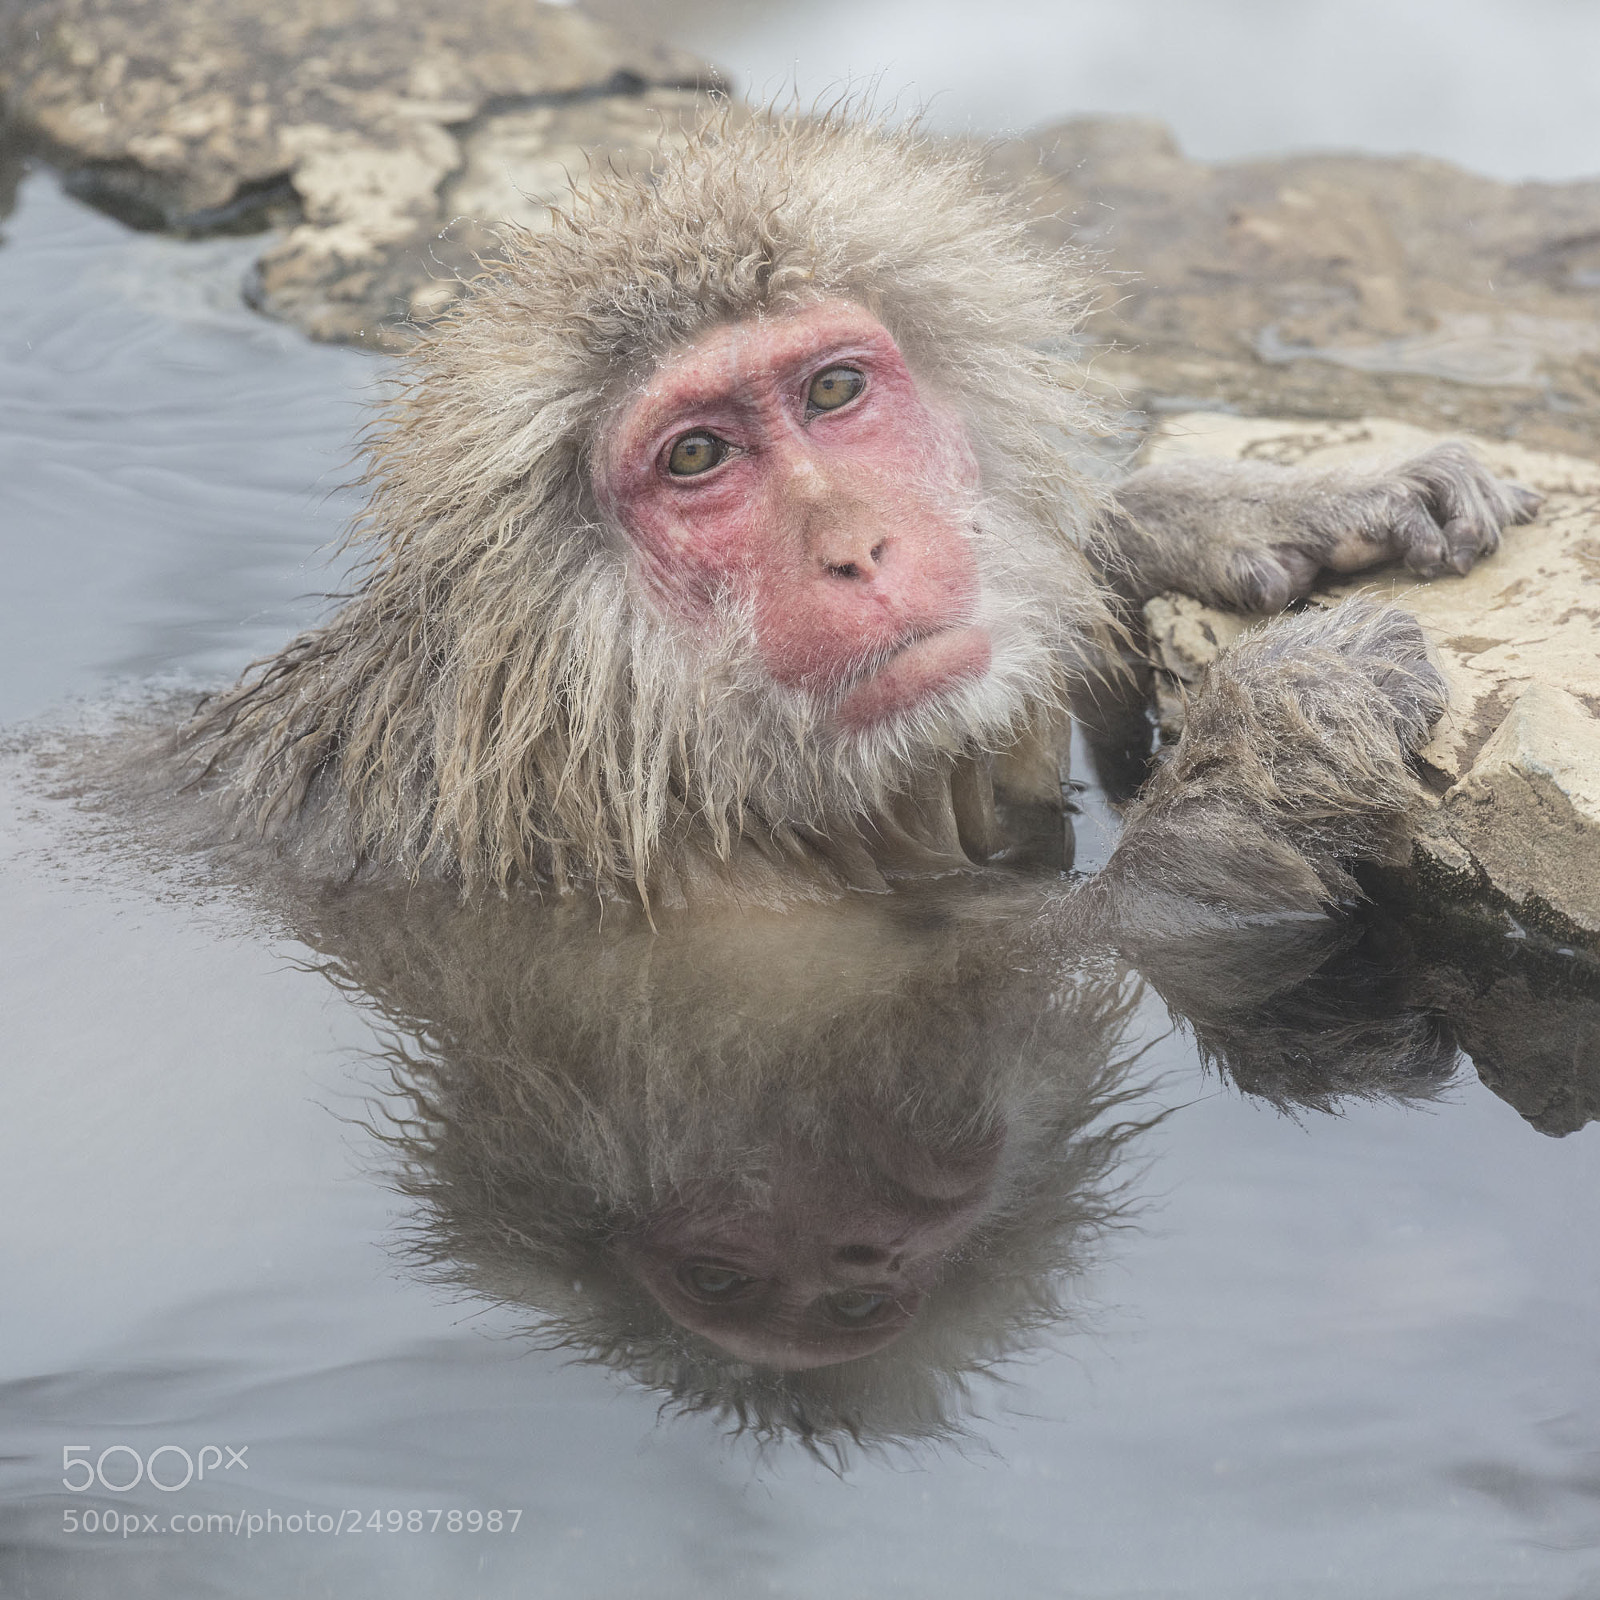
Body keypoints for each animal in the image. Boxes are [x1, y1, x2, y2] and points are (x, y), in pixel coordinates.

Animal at [180, 109, 1540, 917]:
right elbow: (1128, 939)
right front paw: (1298, 708)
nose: (858, 548)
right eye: (696, 457)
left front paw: (1255, 504)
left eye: (833, 390)